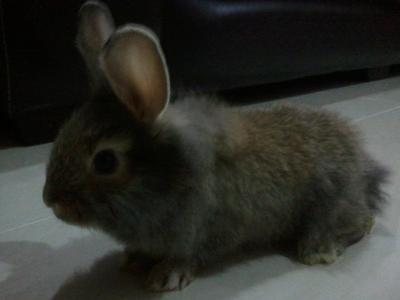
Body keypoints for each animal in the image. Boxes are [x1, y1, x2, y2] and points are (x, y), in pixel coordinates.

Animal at [42, 0, 390, 290]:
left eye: (105, 161)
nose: (50, 201)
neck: (169, 175)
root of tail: (365, 169)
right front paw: (135, 260)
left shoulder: (207, 229)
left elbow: (189, 255)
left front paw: (165, 276)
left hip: (329, 205)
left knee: (363, 222)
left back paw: (319, 251)